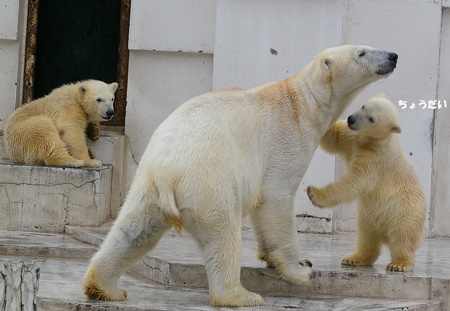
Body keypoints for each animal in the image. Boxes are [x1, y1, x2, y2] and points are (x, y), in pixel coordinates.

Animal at [84, 45, 398, 308]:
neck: (304, 101)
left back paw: (104, 287)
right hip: (209, 183)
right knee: (223, 233)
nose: (393, 56)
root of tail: (167, 171)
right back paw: (240, 296)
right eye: (362, 52)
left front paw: (281, 259)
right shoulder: (286, 138)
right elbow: (276, 196)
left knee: (133, 232)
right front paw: (300, 270)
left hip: (146, 186)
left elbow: (263, 209)